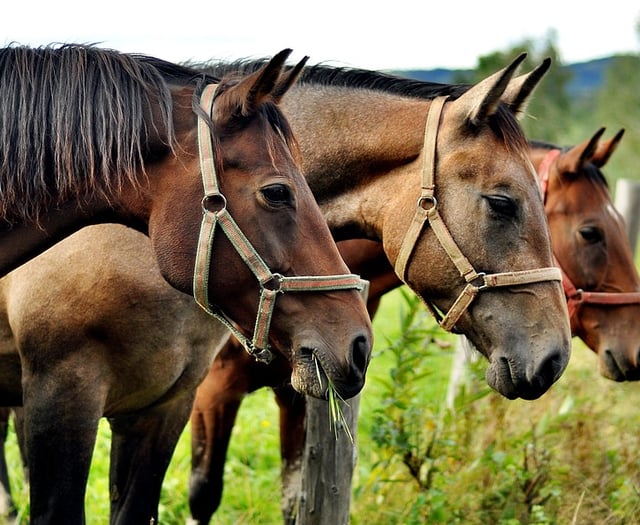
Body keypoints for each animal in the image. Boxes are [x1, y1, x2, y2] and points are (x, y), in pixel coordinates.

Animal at [187, 122, 640, 522]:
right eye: (591, 232)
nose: (636, 349)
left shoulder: (298, 390)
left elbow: (293, 500)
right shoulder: (212, 392)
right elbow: (203, 494)